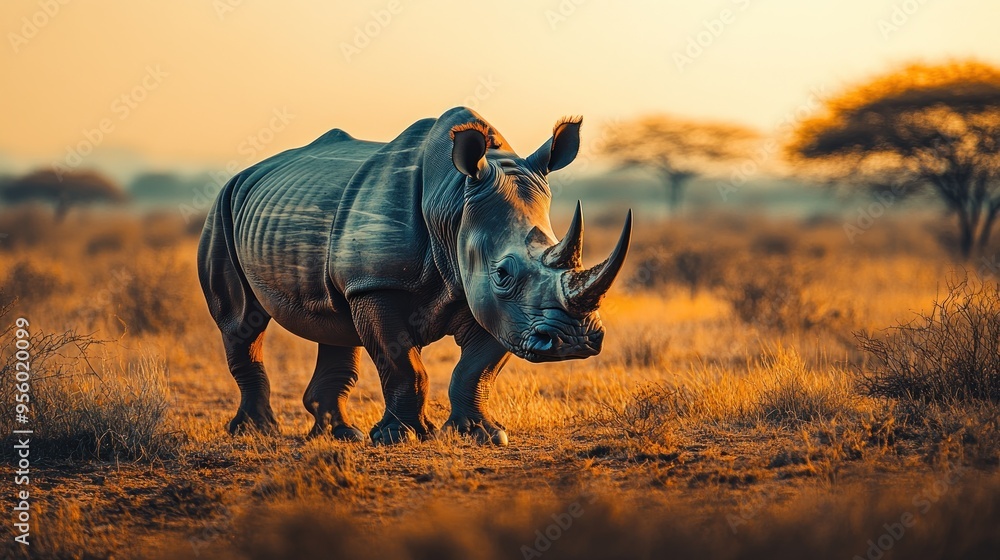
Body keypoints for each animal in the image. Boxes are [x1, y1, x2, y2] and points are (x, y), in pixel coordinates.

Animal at [197, 107, 631, 446]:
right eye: (503, 273)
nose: (573, 341)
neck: (453, 203)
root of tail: (247, 172)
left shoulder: (498, 307)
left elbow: (477, 368)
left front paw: (482, 434)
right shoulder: (377, 284)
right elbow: (404, 364)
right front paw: (397, 437)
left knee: (334, 326)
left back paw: (340, 436)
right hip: (222, 208)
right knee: (241, 323)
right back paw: (257, 432)